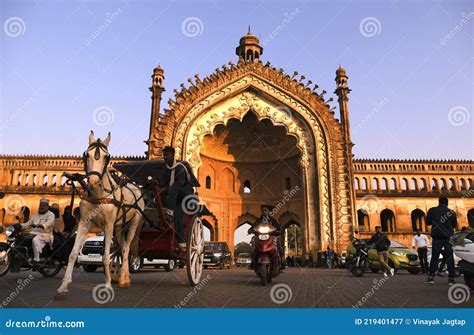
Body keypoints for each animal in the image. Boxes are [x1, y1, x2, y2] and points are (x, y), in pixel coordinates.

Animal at [55, 131, 143, 300]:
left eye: (106, 156)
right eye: (86, 154)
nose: (93, 182)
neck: (98, 194)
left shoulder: (108, 225)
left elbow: (105, 256)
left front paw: (107, 285)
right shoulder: (84, 223)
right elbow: (73, 254)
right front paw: (63, 286)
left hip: (134, 222)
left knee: (127, 247)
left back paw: (123, 279)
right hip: (119, 226)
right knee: (121, 246)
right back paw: (123, 278)